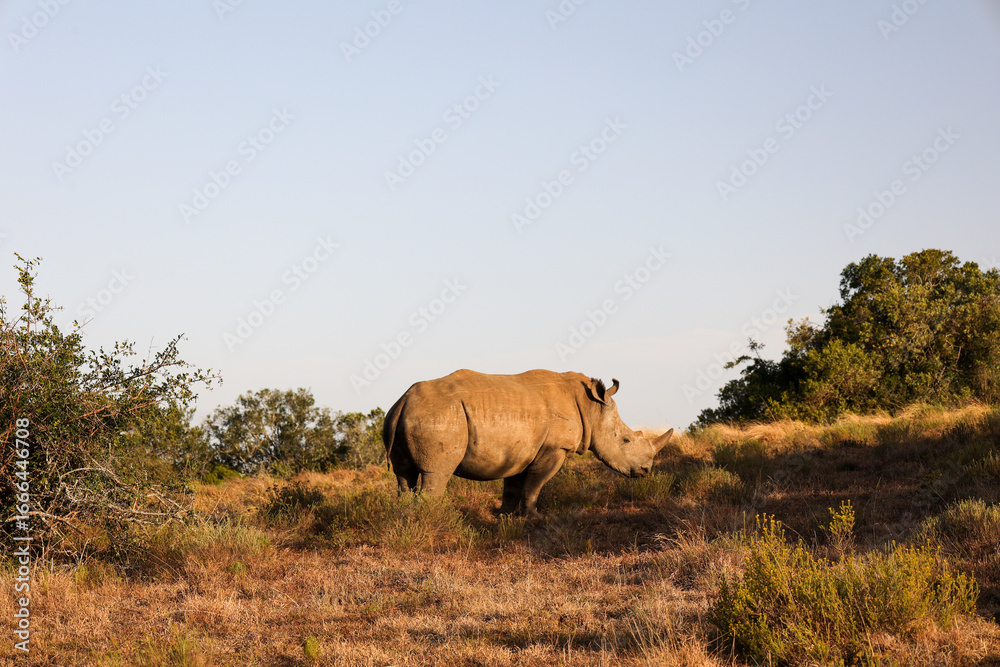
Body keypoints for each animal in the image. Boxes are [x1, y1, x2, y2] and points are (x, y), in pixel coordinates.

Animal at [382, 369, 673, 515]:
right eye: (626, 440)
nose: (646, 471)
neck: (592, 407)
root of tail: (404, 400)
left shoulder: (519, 449)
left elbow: (513, 487)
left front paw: (504, 517)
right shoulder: (555, 448)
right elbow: (534, 486)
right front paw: (534, 518)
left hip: (404, 414)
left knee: (403, 475)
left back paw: (405, 516)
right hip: (439, 416)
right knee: (437, 474)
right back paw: (434, 519)